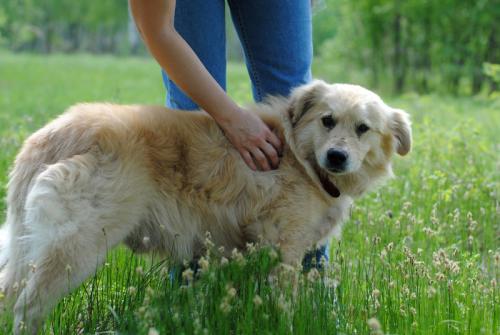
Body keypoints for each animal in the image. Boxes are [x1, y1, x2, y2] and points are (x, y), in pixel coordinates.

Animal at [0, 80, 410, 334]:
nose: (337, 157)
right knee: (27, 307)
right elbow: (286, 306)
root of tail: (49, 136)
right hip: (77, 249)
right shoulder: (284, 248)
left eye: (363, 128)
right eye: (328, 120)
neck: (299, 156)